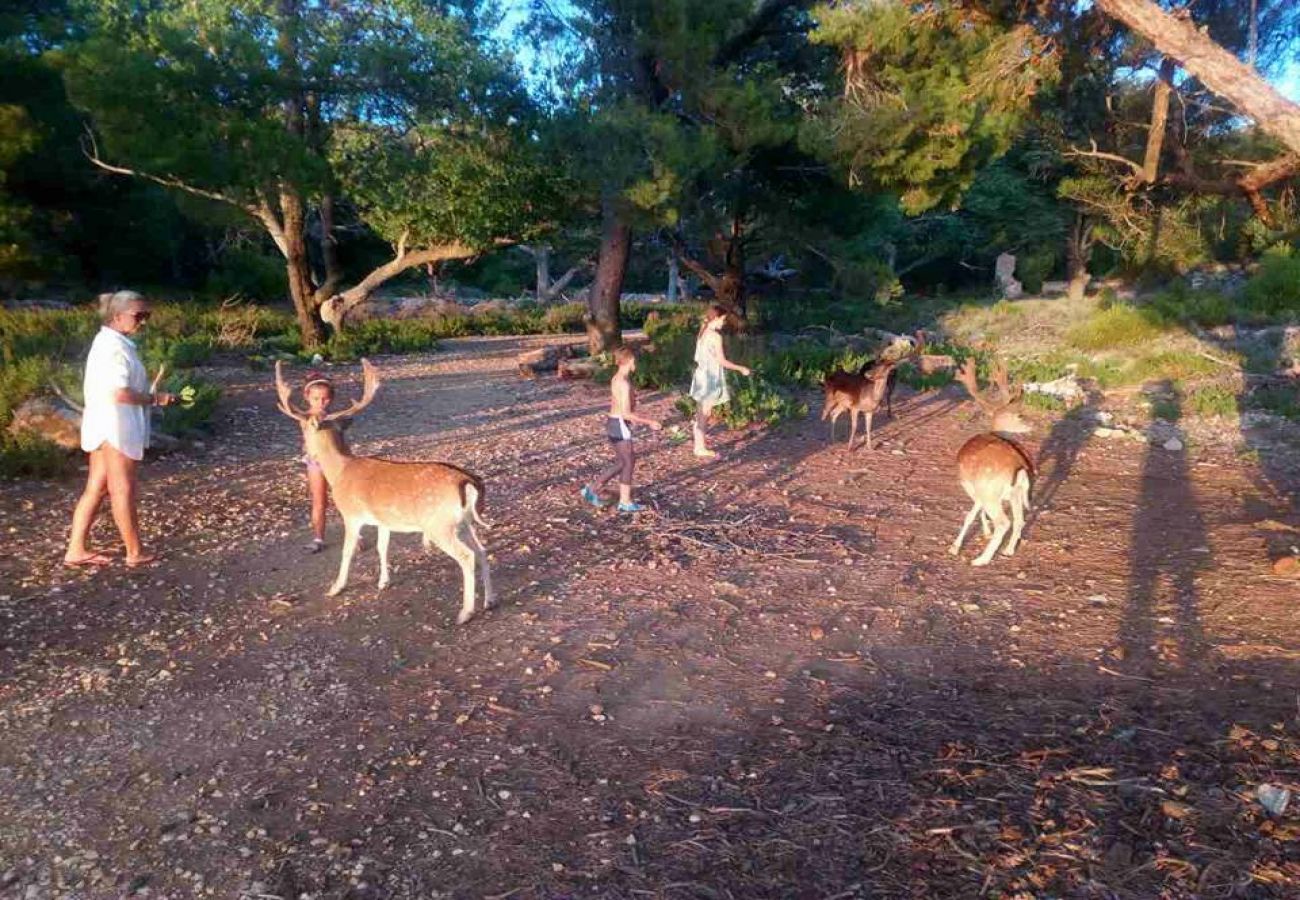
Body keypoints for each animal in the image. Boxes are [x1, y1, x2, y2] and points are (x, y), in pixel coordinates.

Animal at [273, 358, 491, 626]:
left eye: (303, 427)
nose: (304, 454)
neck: (340, 471)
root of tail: (468, 482)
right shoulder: (383, 520)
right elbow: (382, 547)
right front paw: (383, 582)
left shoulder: (351, 514)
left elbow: (348, 551)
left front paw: (336, 587)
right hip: (464, 523)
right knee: (482, 551)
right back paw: (490, 601)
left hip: (439, 525)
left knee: (467, 557)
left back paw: (465, 613)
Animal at [946, 356, 1034, 561]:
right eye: (1018, 414)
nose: (1032, 424)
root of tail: (1019, 467)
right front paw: (986, 532)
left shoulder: (971, 485)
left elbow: (971, 515)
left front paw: (955, 547)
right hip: (1016, 492)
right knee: (1020, 520)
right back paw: (1008, 550)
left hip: (990, 492)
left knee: (1004, 522)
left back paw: (981, 560)